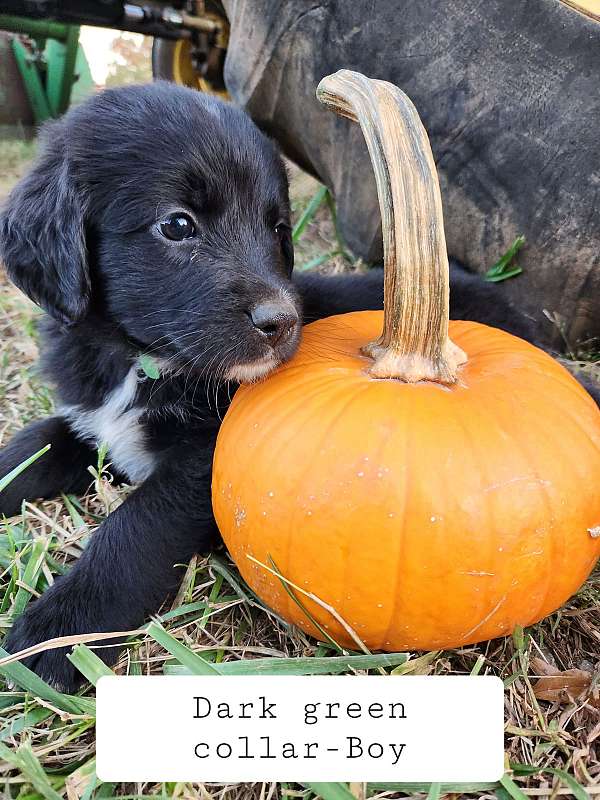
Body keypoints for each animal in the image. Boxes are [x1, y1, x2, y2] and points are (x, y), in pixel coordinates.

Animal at [0, 84, 592, 692]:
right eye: (177, 225)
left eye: (278, 229)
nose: (281, 323)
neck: (140, 360)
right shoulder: (89, 419)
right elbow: (31, 447)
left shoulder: (202, 462)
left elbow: (135, 527)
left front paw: (60, 628)